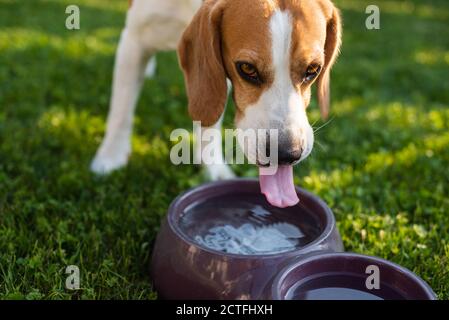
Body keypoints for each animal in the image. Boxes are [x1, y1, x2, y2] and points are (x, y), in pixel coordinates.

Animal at [93, 0, 342, 208]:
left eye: (313, 70)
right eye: (247, 68)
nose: (286, 154)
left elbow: (209, 122)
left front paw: (213, 168)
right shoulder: (134, 39)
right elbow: (121, 110)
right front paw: (110, 158)